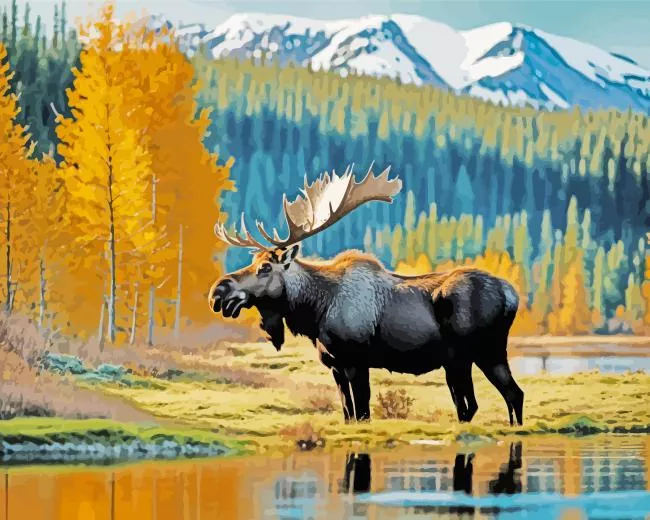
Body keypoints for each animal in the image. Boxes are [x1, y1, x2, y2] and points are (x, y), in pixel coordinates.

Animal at [208, 165, 524, 426]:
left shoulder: (356, 361)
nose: (218, 291)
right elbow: (348, 413)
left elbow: (362, 413)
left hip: (474, 353)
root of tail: (512, 295)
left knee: (481, 403)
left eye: (265, 267)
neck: (315, 310)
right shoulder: (335, 367)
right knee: (507, 396)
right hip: (474, 357)